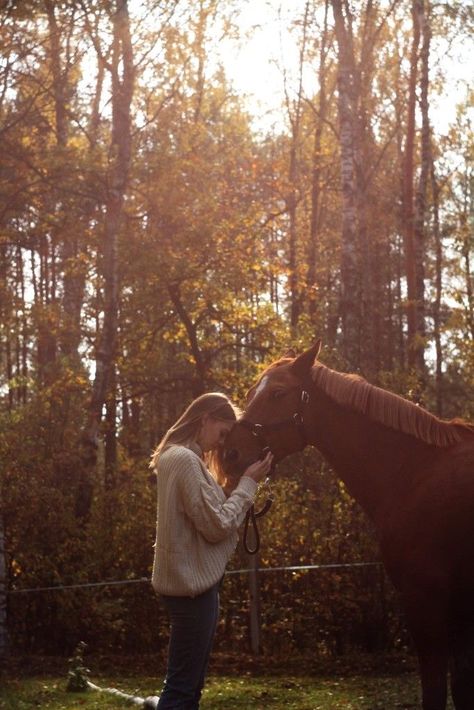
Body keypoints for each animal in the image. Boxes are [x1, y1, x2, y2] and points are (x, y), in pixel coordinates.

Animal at [224, 342, 474, 708]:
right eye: (250, 393)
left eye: (278, 393)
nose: (230, 453)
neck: (415, 471)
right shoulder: (458, 609)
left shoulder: (425, 599)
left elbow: (436, 691)